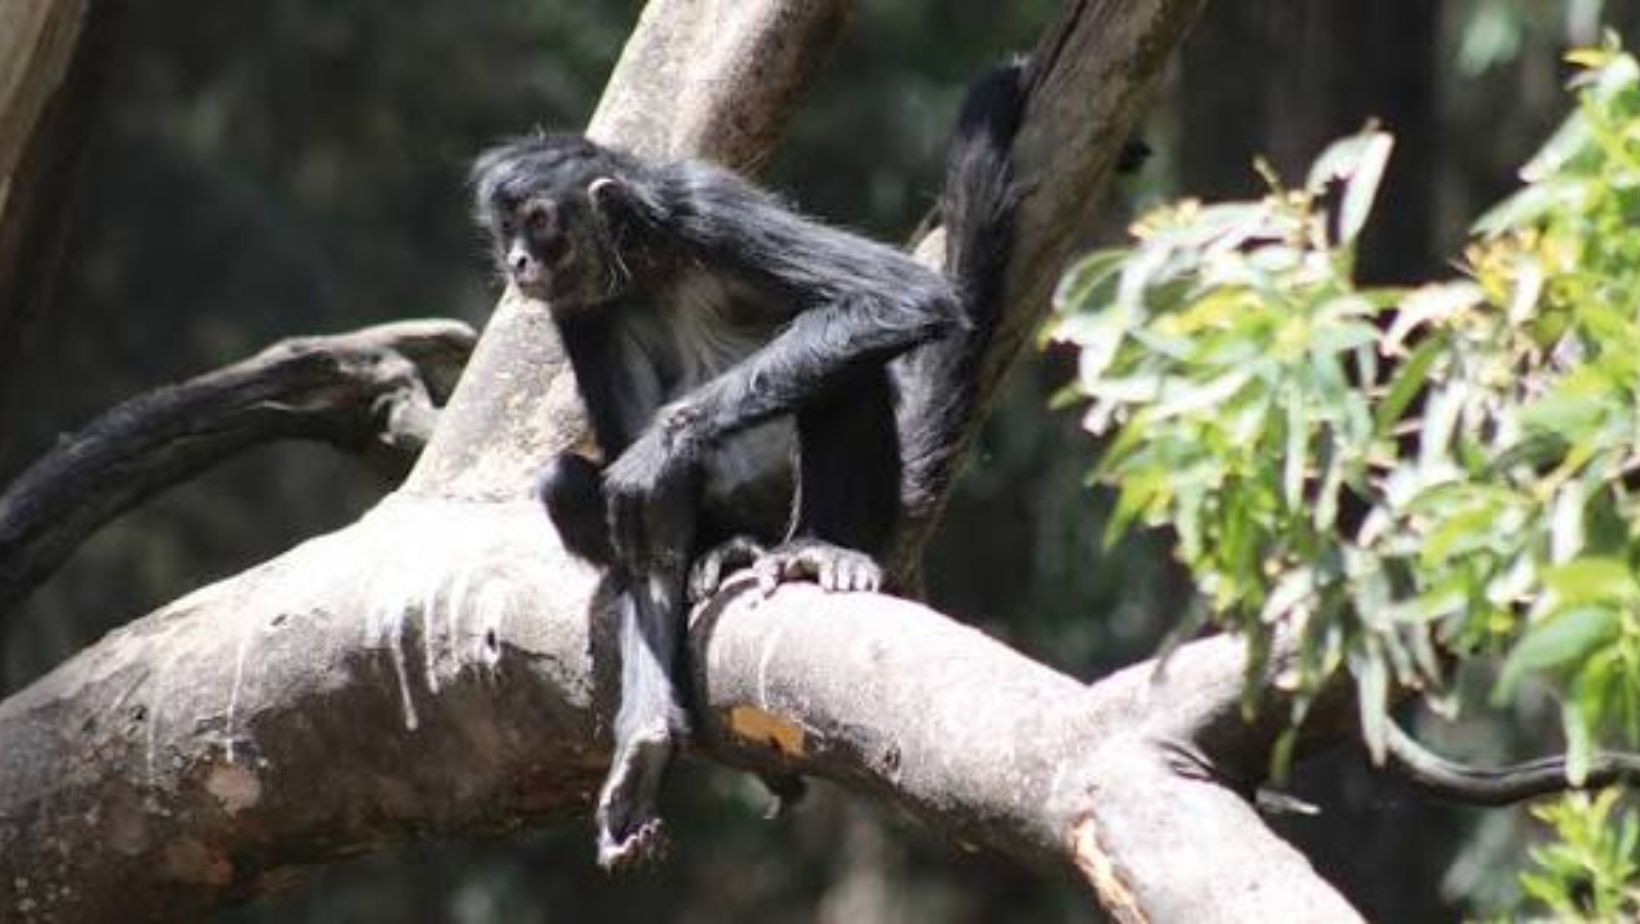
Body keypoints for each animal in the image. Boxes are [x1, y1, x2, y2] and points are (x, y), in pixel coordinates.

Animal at [471, 62, 1026, 870]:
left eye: (540, 222)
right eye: (506, 229)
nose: (517, 262)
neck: (649, 267)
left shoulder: (706, 205)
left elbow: (906, 296)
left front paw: (668, 440)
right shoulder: (578, 309)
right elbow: (643, 506)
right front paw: (643, 750)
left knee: (848, 376)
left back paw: (814, 549)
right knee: (568, 482)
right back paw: (725, 550)